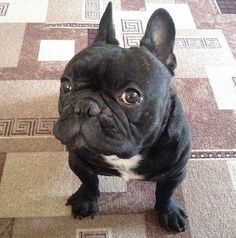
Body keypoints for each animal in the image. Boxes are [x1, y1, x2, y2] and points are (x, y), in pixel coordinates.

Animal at [53, 2, 192, 232]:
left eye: (131, 96)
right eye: (66, 85)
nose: (85, 106)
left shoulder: (175, 172)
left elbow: (165, 193)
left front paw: (168, 212)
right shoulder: (77, 161)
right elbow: (89, 182)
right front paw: (86, 200)